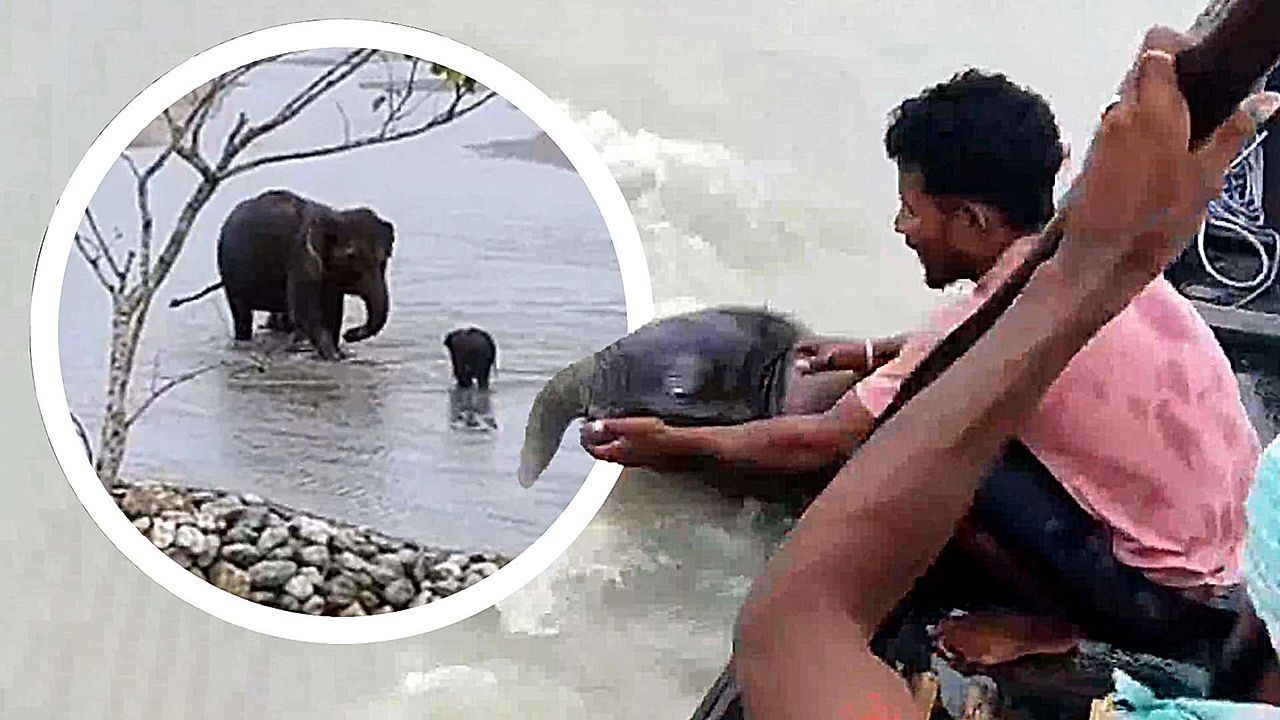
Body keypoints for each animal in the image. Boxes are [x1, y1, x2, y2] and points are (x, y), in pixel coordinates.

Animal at [168, 189, 394, 361]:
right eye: (351, 257)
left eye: (385, 258)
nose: (352, 333)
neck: (333, 215)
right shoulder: (300, 261)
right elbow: (307, 313)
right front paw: (335, 357)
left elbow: (333, 311)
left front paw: (340, 352)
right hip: (228, 273)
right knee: (242, 315)